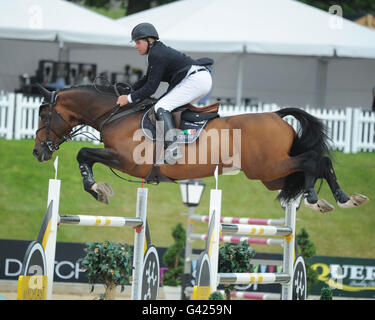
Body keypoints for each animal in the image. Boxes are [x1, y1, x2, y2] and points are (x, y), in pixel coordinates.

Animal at [33, 84, 370, 211]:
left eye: (44, 113)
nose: (38, 152)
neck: (115, 115)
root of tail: (276, 115)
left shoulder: (126, 160)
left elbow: (83, 154)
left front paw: (96, 189)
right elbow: (86, 156)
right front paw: (98, 188)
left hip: (269, 166)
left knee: (315, 160)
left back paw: (334, 198)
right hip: (270, 175)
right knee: (308, 168)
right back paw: (326, 199)